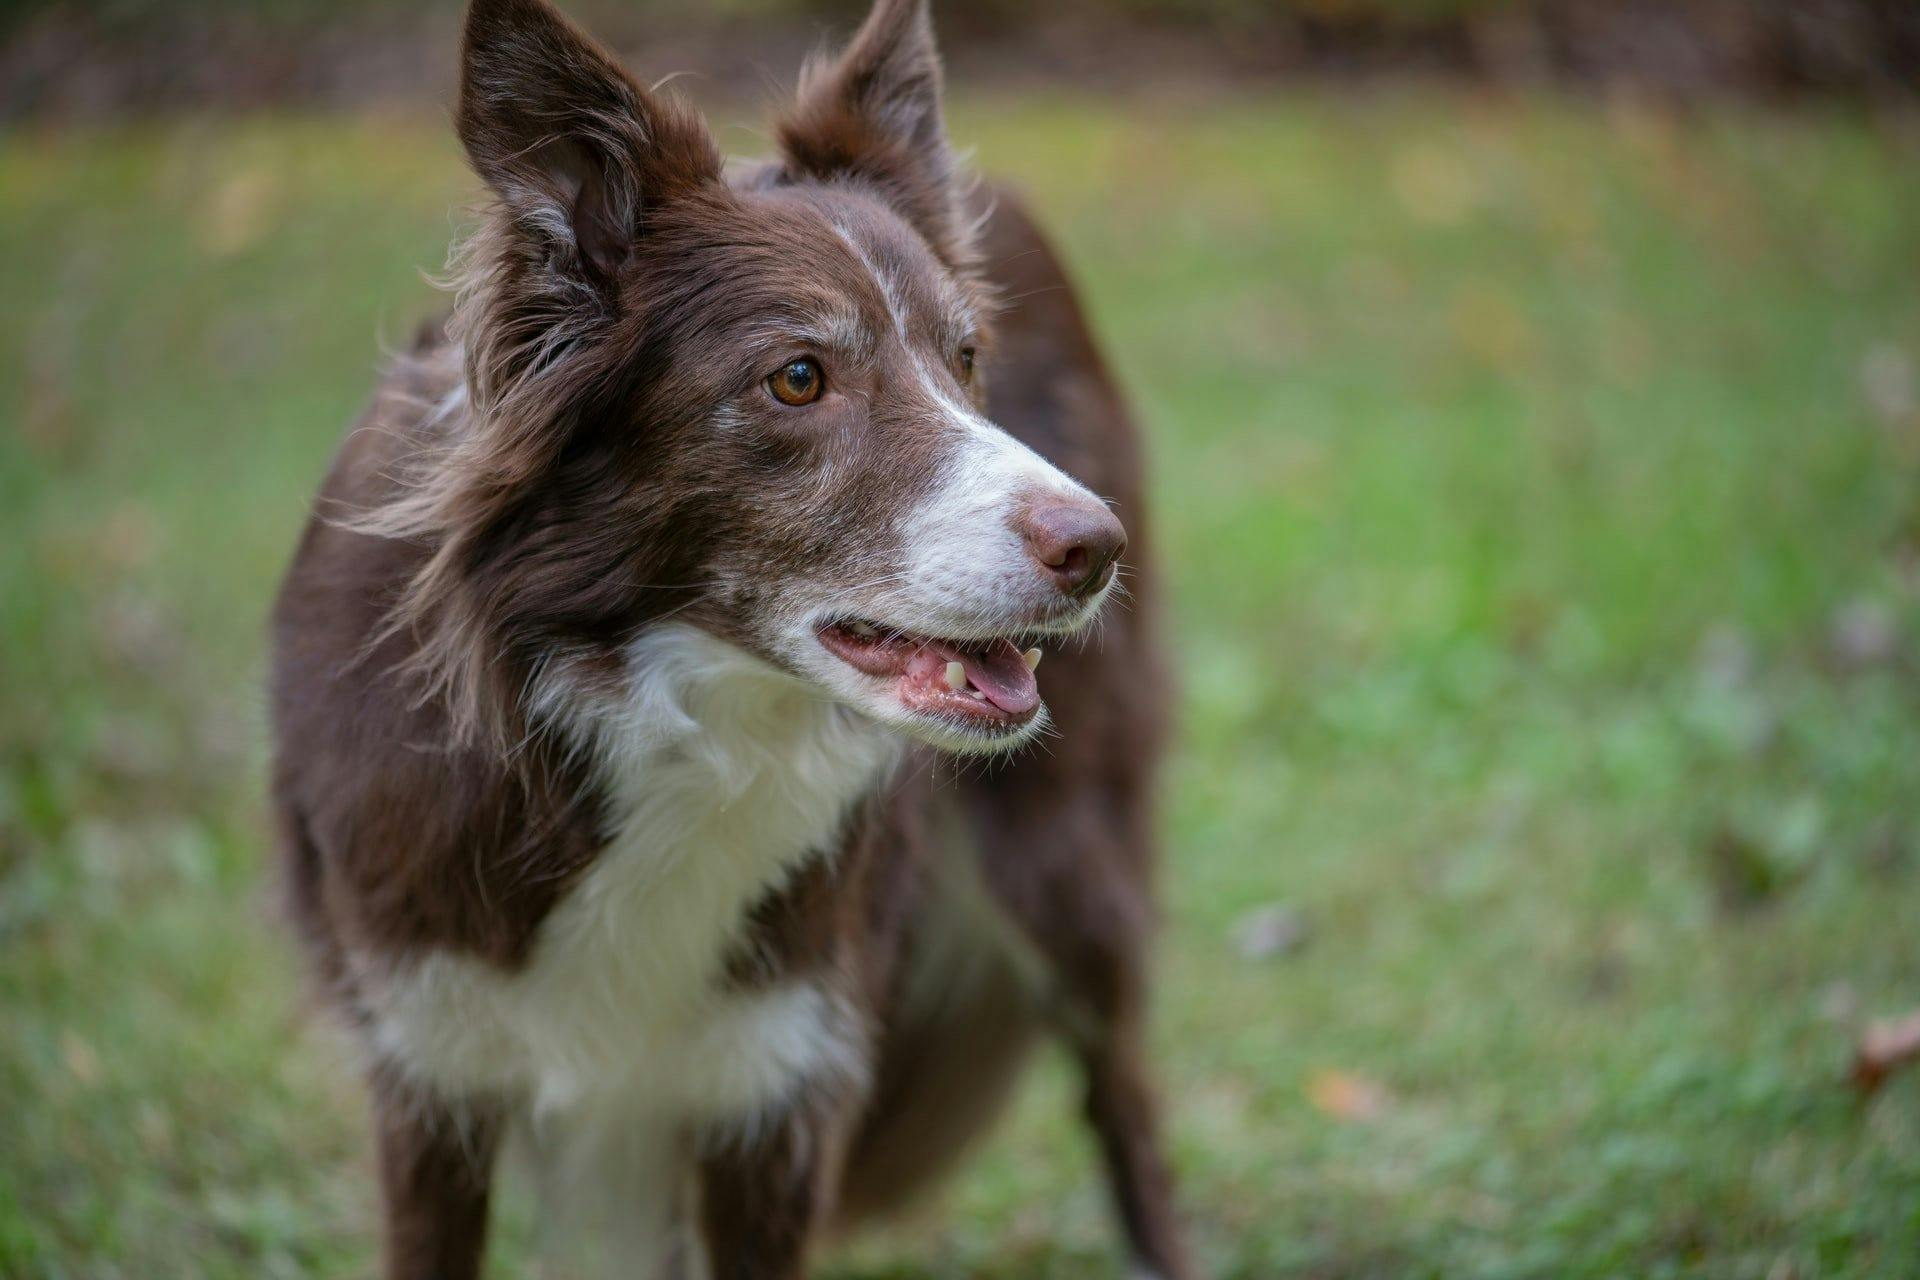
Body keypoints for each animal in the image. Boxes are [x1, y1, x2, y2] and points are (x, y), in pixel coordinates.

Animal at [266, 5, 1182, 1274]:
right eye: (797, 376)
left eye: (965, 361)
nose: (1096, 546)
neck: (654, 718)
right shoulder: (428, 1069)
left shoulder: (776, 1083)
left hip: (1069, 861)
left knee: (1126, 1100)